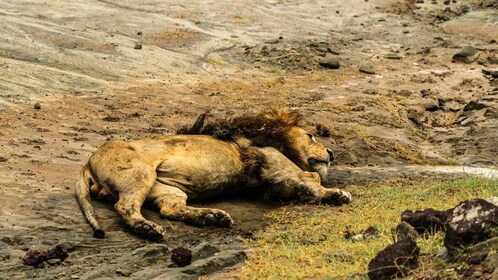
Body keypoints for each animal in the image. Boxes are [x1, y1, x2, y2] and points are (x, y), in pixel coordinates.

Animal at [76, 107, 352, 241]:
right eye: (311, 135)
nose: (331, 152)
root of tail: (87, 161)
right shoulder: (274, 161)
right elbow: (310, 178)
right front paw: (335, 194)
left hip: (166, 188)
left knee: (170, 208)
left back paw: (212, 217)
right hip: (140, 175)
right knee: (126, 206)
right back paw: (147, 229)